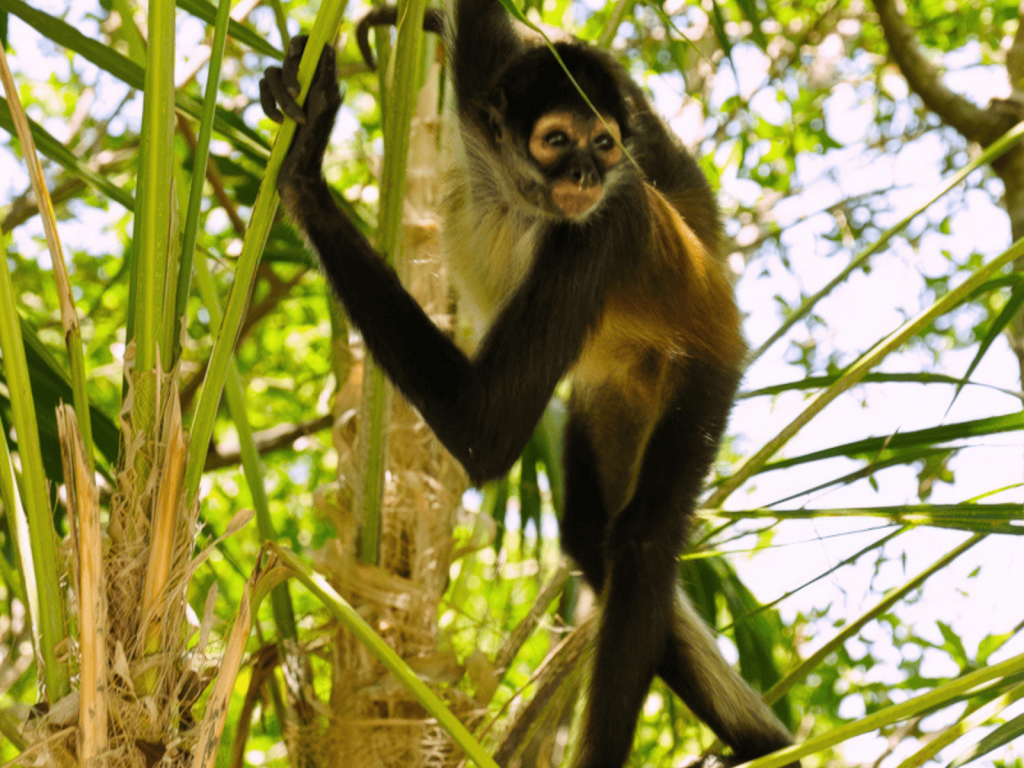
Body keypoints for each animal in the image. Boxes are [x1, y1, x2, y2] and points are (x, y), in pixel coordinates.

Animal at [259, 3, 799, 766]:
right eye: (557, 140)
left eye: (601, 143)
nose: (586, 172)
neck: (515, 193)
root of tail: (712, 273)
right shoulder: (482, 75)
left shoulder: (599, 231)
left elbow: (486, 431)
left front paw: (305, 169)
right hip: (613, 391)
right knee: (589, 536)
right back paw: (761, 740)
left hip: (703, 371)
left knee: (638, 543)